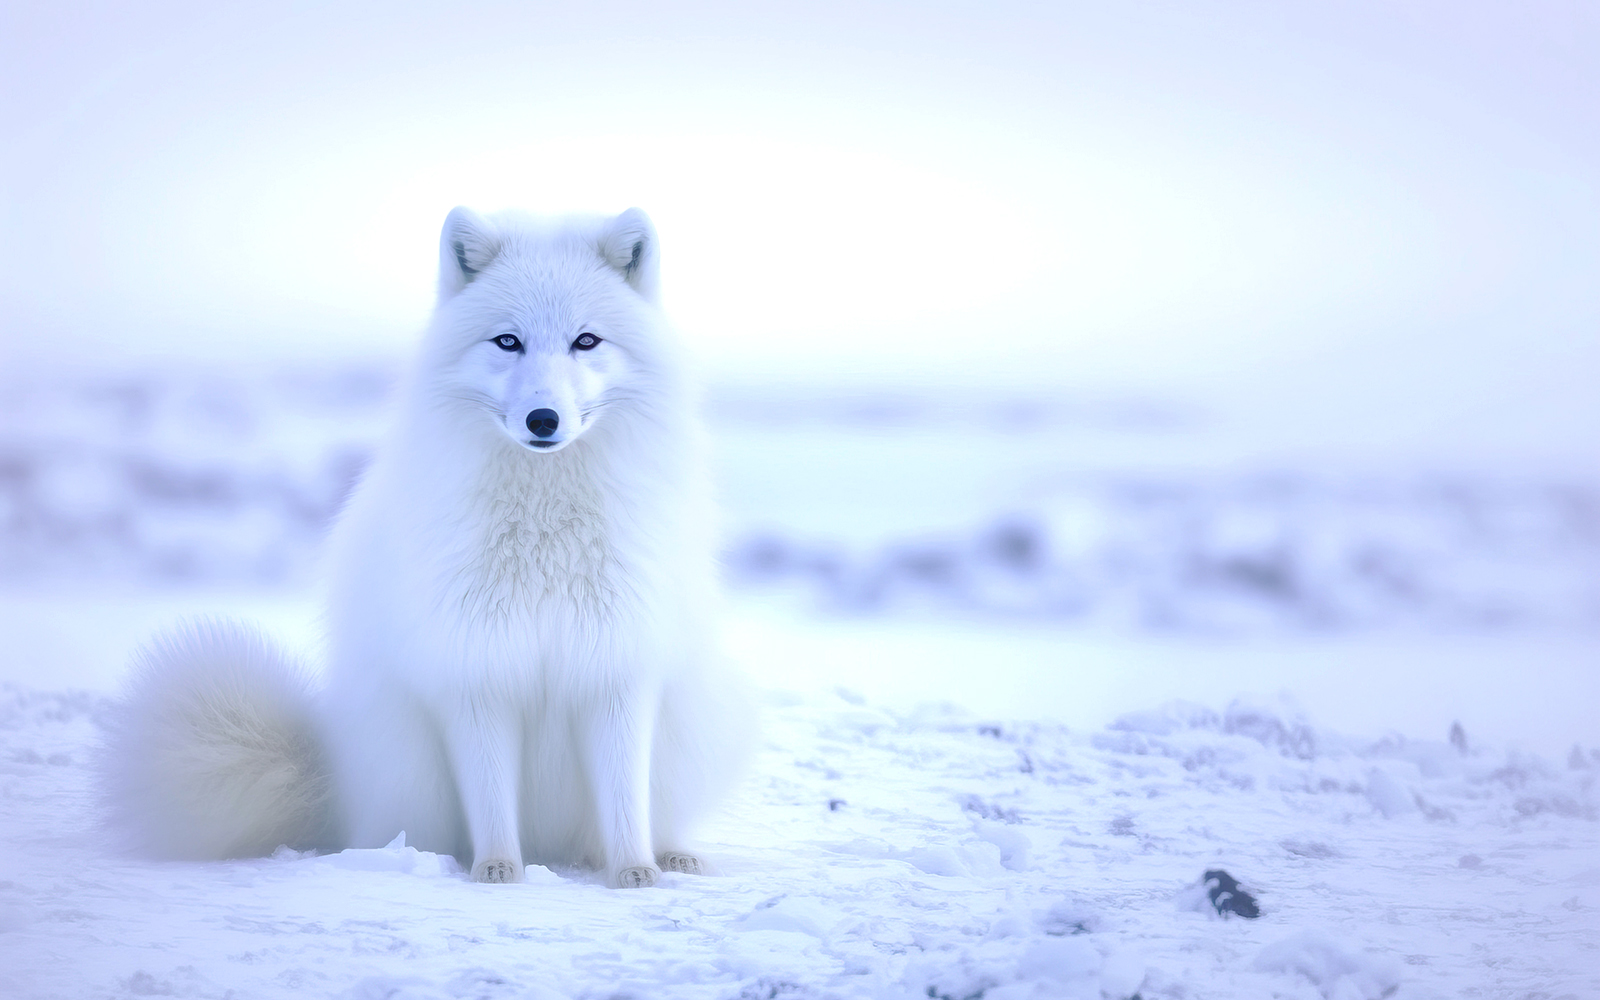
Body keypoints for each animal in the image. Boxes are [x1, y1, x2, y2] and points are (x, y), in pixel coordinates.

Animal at [99, 207, 753, 888]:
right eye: (508, 341)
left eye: (587, 341)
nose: (542, 420)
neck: (544, 532)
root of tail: (338, 787)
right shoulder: (472, 671)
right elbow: (490, 797)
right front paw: (497, 869)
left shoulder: (618, 665)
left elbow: (625, 797)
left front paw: (634, 871)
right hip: (407, 765)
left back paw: (672, 854)